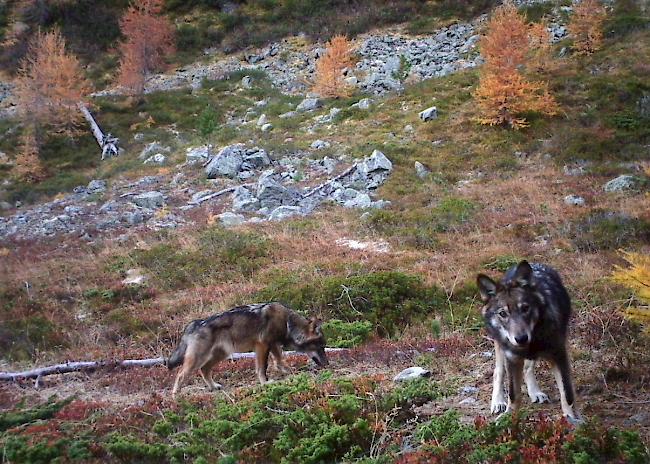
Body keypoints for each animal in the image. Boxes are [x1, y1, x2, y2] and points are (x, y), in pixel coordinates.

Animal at [165, 302, 326, 396]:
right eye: (320, 347)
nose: (327, 364)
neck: (287, 323)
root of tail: (194, 324)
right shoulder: (262, 345)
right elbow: (262, 368)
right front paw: (265, 383)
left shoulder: (273, 345)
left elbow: (279, 361)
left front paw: (289, 371)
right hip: (199, 359)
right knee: (180, 374)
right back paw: (175, 397)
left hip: (220, 355)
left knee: (204, 370)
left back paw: (214, 386)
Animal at [474, 260, 580, 422]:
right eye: (503, 313)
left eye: (525, 308)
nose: (521, 338)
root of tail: (535, 263)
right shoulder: (512, 359)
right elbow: (513, 395)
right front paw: (509, 418)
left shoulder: (559, 356)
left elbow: (567, 393)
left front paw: (570, 418)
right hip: (500, 347)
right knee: (498, 372)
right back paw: (498, 402)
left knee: (528, 368)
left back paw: (535, 393)